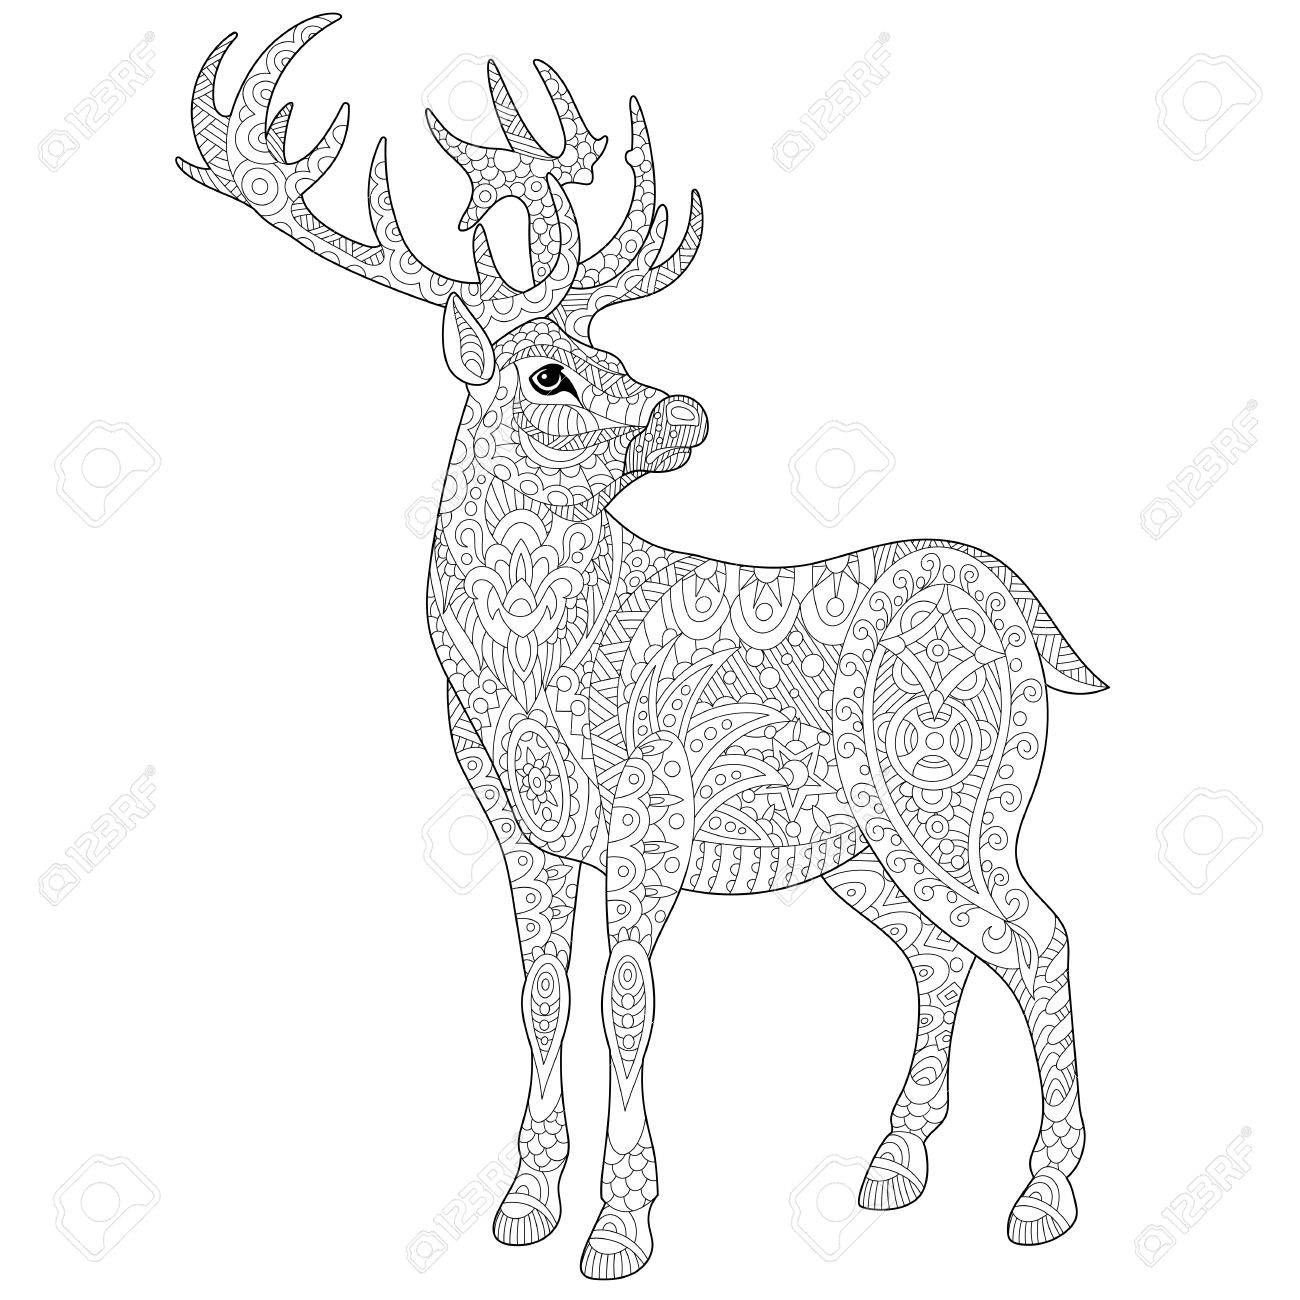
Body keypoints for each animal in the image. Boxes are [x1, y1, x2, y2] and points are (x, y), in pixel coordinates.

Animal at [180, 14, 1107, 1279]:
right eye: (552, 370)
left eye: (614, 355)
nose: (687, 412)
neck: (530, 675)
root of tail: (1020, 607)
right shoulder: (514, 817)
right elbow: (540, 990)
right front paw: (524, 1201)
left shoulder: (654, 802)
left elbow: (629, 996)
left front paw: (619, 1225)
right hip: (864, 843)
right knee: (943, 951)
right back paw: (893, 1166)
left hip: (955, 784)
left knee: (1036, 933)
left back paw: (1043, 1193)